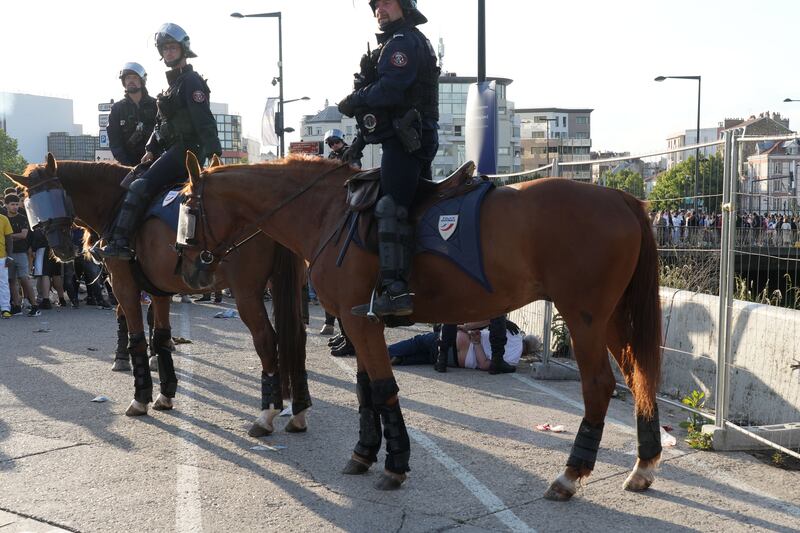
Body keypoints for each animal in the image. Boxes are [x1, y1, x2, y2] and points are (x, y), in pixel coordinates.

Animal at [6, 154, 310, 436]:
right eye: (31, 202)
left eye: (53, 195)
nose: (62, 248)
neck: (116, 202)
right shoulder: (159, 289)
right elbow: (161, 338)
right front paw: (165, 394)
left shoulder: (124, 286)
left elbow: (137, 338)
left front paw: (140, 397)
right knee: (297, 336)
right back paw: (298, 410)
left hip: (247, 293)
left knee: (267, 340)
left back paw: (266, 415)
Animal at [180, 151, 664, 498]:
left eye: (186, 207)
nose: (191, 271)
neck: (330, 212)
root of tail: (621, 198)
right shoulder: (362, 325)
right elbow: (367, 392)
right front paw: (364, 453)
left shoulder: (360, 323)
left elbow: (382, 389)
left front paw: (394, 465)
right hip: (612, 319)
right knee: (640, 379)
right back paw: (643, 466)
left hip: (585, 318)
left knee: (599, 386)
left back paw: (570, 474)